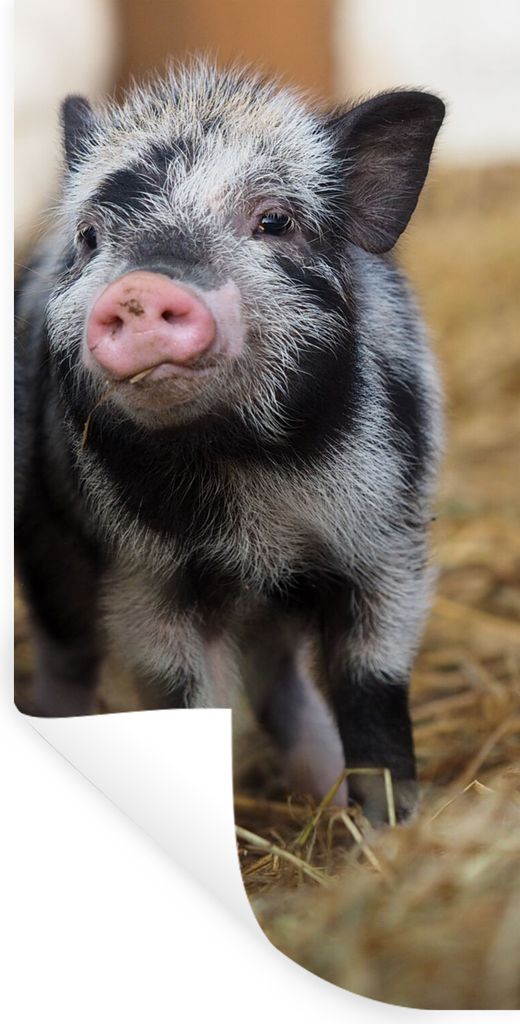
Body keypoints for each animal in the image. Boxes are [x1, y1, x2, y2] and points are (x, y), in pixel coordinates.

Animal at [15, 60, 445, 822]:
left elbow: (374, 692)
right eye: (91, 236)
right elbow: (183, 701)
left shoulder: (388, 548)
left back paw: (326, 796)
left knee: (282, 685)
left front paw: (392, 832)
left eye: (274, 221)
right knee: (65, 658)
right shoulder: (146, 581)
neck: (248, 475)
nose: (141, 289)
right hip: (46, 541)